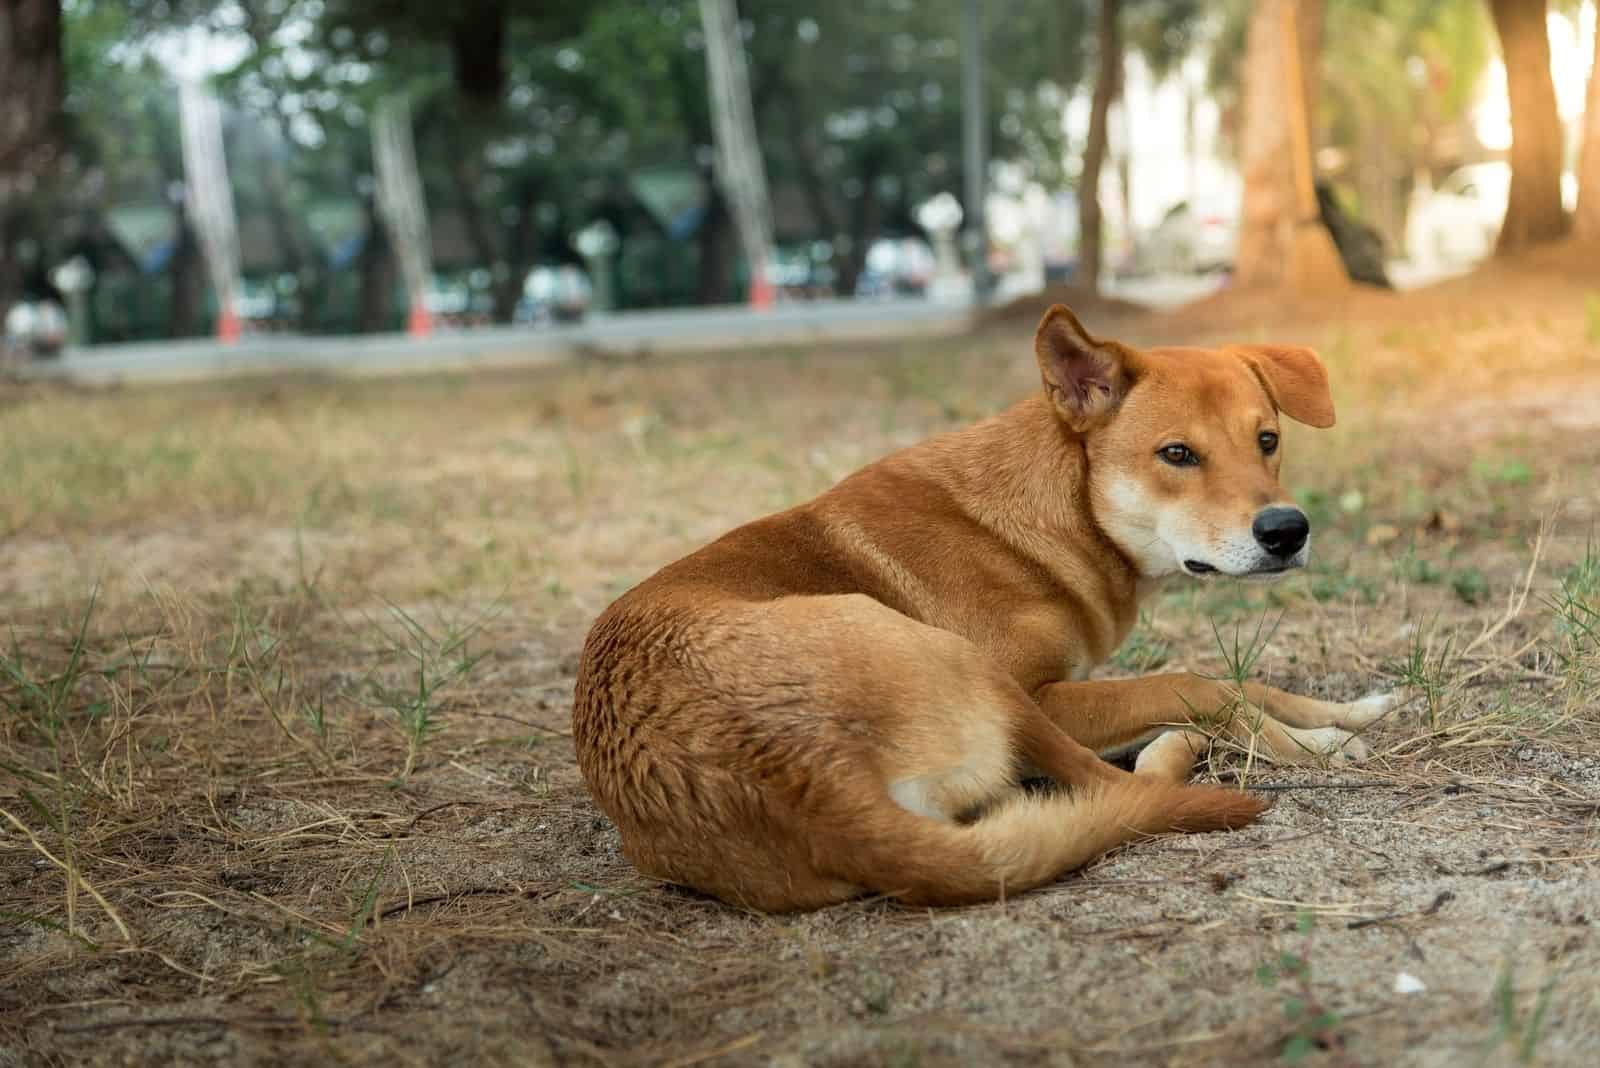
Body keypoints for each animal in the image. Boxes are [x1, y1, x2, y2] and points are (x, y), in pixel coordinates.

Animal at [572, 306, 1388, 908]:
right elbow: (1198, 682)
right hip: (958, 661)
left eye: (1268, 440)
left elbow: (1245, 681)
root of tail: (815, 785)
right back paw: (1179, 748)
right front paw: (1316, 745)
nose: (1287, 531)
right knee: (1116, 782)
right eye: (1177, 454)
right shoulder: (1045, 692)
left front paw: (1347, 712)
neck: (1063, 510)